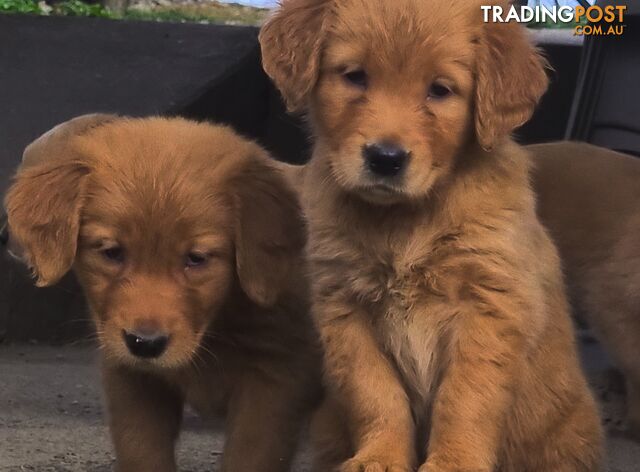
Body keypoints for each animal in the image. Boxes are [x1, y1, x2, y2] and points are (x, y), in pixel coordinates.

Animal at [5, 115, 322, 472]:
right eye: (112, 252)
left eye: (196, 258)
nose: (145, 343)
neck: (218, 325)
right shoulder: (131, 377)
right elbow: (141, 449)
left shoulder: (276, 381)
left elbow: (249, 455)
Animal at [262, 0, 604, 472]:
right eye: (355, 75)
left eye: (440, 90)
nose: (385, 158)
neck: (405, 220)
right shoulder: (345, 309)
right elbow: (375, 393)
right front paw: (380, 456)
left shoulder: (489, 308)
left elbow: (464, 399)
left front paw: (454, 462)